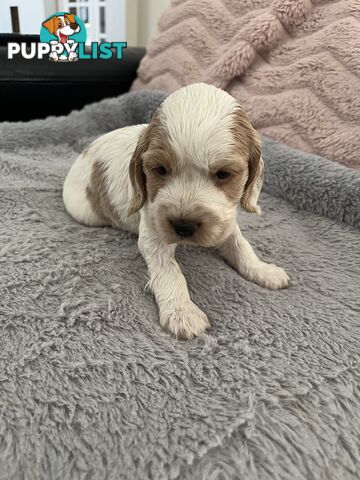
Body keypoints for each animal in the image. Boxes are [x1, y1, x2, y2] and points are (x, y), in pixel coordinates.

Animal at [63, 83, 290, 338]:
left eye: (223, 174)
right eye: (160, 169)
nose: (184, 225)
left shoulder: (226, 220)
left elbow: (241, 246)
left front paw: (263, 270)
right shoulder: (153, 231)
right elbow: (169, 271)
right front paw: (182, 313)